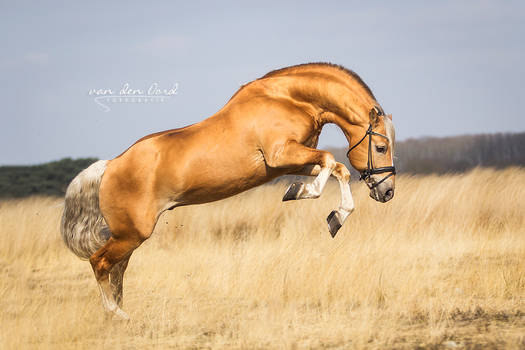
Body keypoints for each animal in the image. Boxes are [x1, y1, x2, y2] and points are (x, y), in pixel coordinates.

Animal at [61, 61, 396, 318]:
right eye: (380, 147)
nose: (387, 192)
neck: (289, 98)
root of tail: (110, 166)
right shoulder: (281, 154)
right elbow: (329, 161)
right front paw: (302, 193)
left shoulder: (289, 162)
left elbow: (337, 168)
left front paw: (335, 217)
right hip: (131, 234)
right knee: (99, 263)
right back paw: (116, 313)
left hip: (128, 237)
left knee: (116, 271)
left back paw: (118, 314)